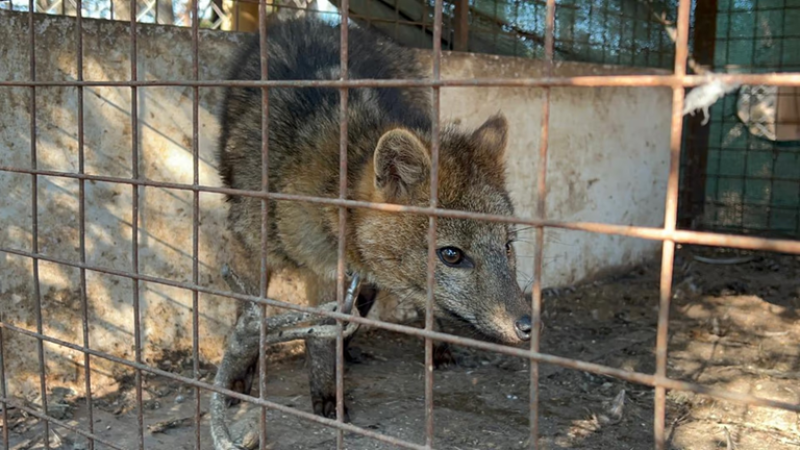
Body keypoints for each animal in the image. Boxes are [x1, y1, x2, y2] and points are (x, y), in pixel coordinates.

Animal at [210, 15, 532, 449]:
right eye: (452, 254)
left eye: (507, 247)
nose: (528, 325)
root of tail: (318, 21)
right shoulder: (262, 252)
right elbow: (253, 319)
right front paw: (245, 376)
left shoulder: (331, 272)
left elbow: (323, 336)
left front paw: (329, 389)